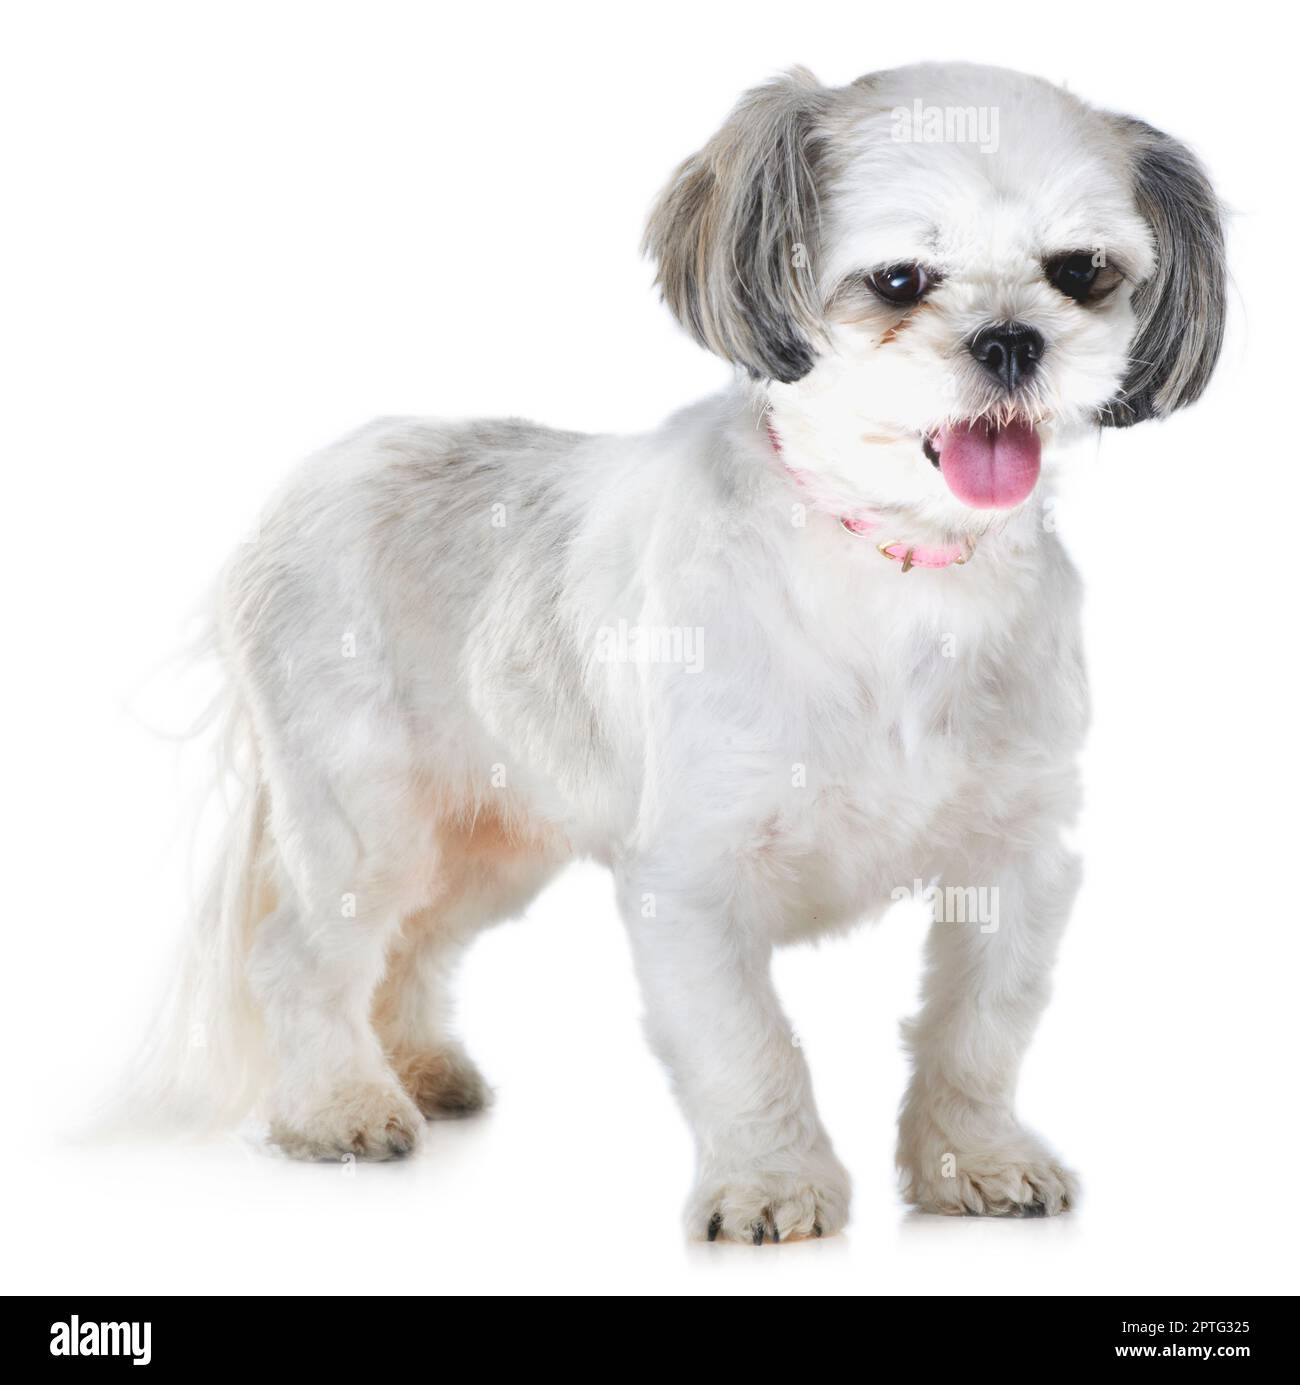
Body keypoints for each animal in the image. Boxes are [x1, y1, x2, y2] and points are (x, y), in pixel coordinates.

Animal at [147, 62, 1223, 1246]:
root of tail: (307, 480)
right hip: (364, 816)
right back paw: (338, 1104)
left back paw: (419, 1066)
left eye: (1081, 272)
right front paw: (771, 1185)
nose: (1011, 339)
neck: (894, 569)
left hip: (493, 835)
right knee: (305, 954)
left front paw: (973, 1158)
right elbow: (748, 1045)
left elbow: (979, 1028)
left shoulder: (1014, 857)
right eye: (899, 279)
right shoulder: (696, 874)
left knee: (416, 943)